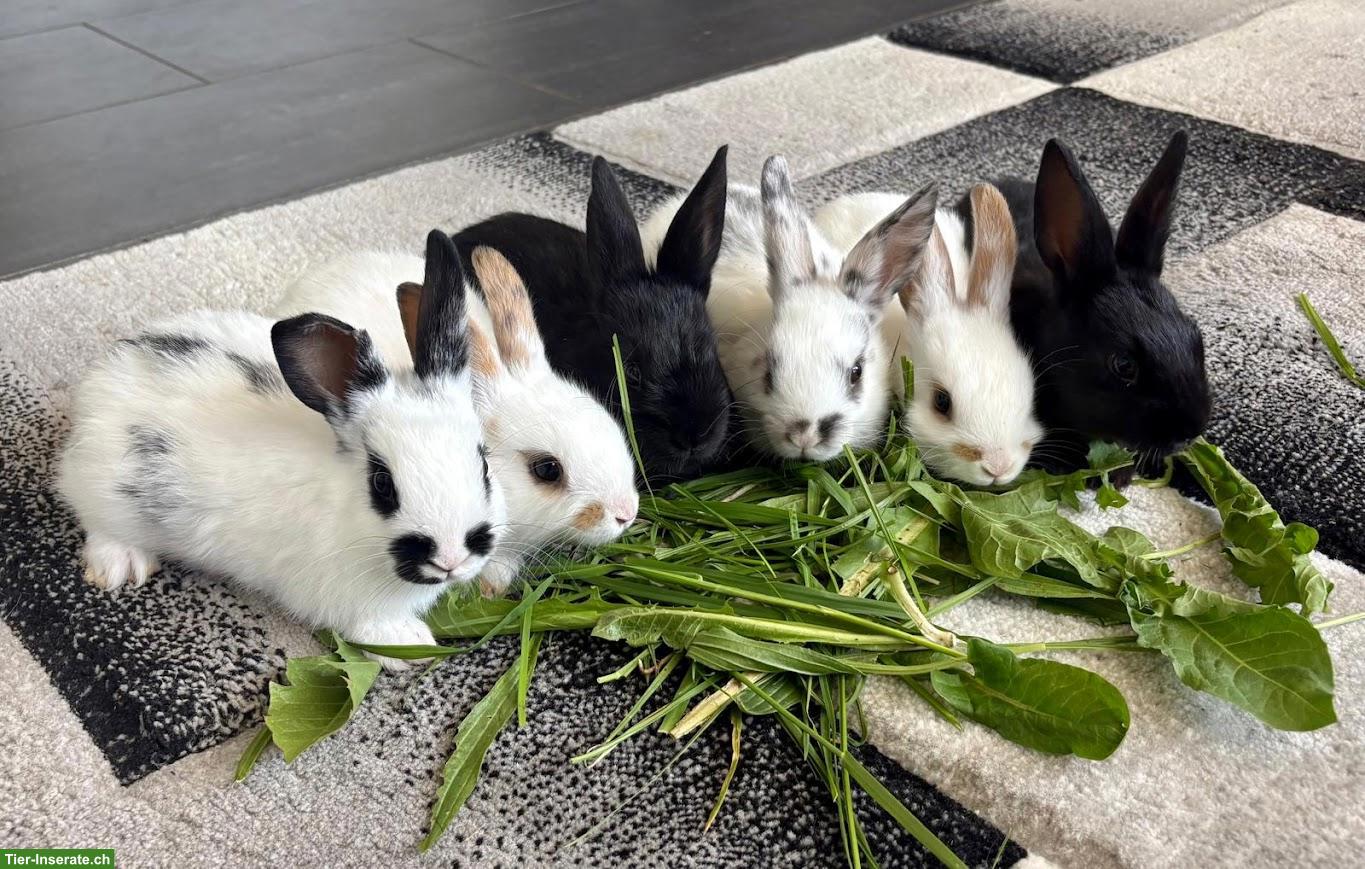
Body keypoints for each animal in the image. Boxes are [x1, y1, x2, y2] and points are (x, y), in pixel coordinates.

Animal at [57, 231, 504, 668]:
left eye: (484, 465)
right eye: (382, 484)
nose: (451, 557)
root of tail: (105, 374)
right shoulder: (342, 598)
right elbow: (370, 626)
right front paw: (411, 645)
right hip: (106, 492)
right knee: (95, 520)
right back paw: (121, 566)